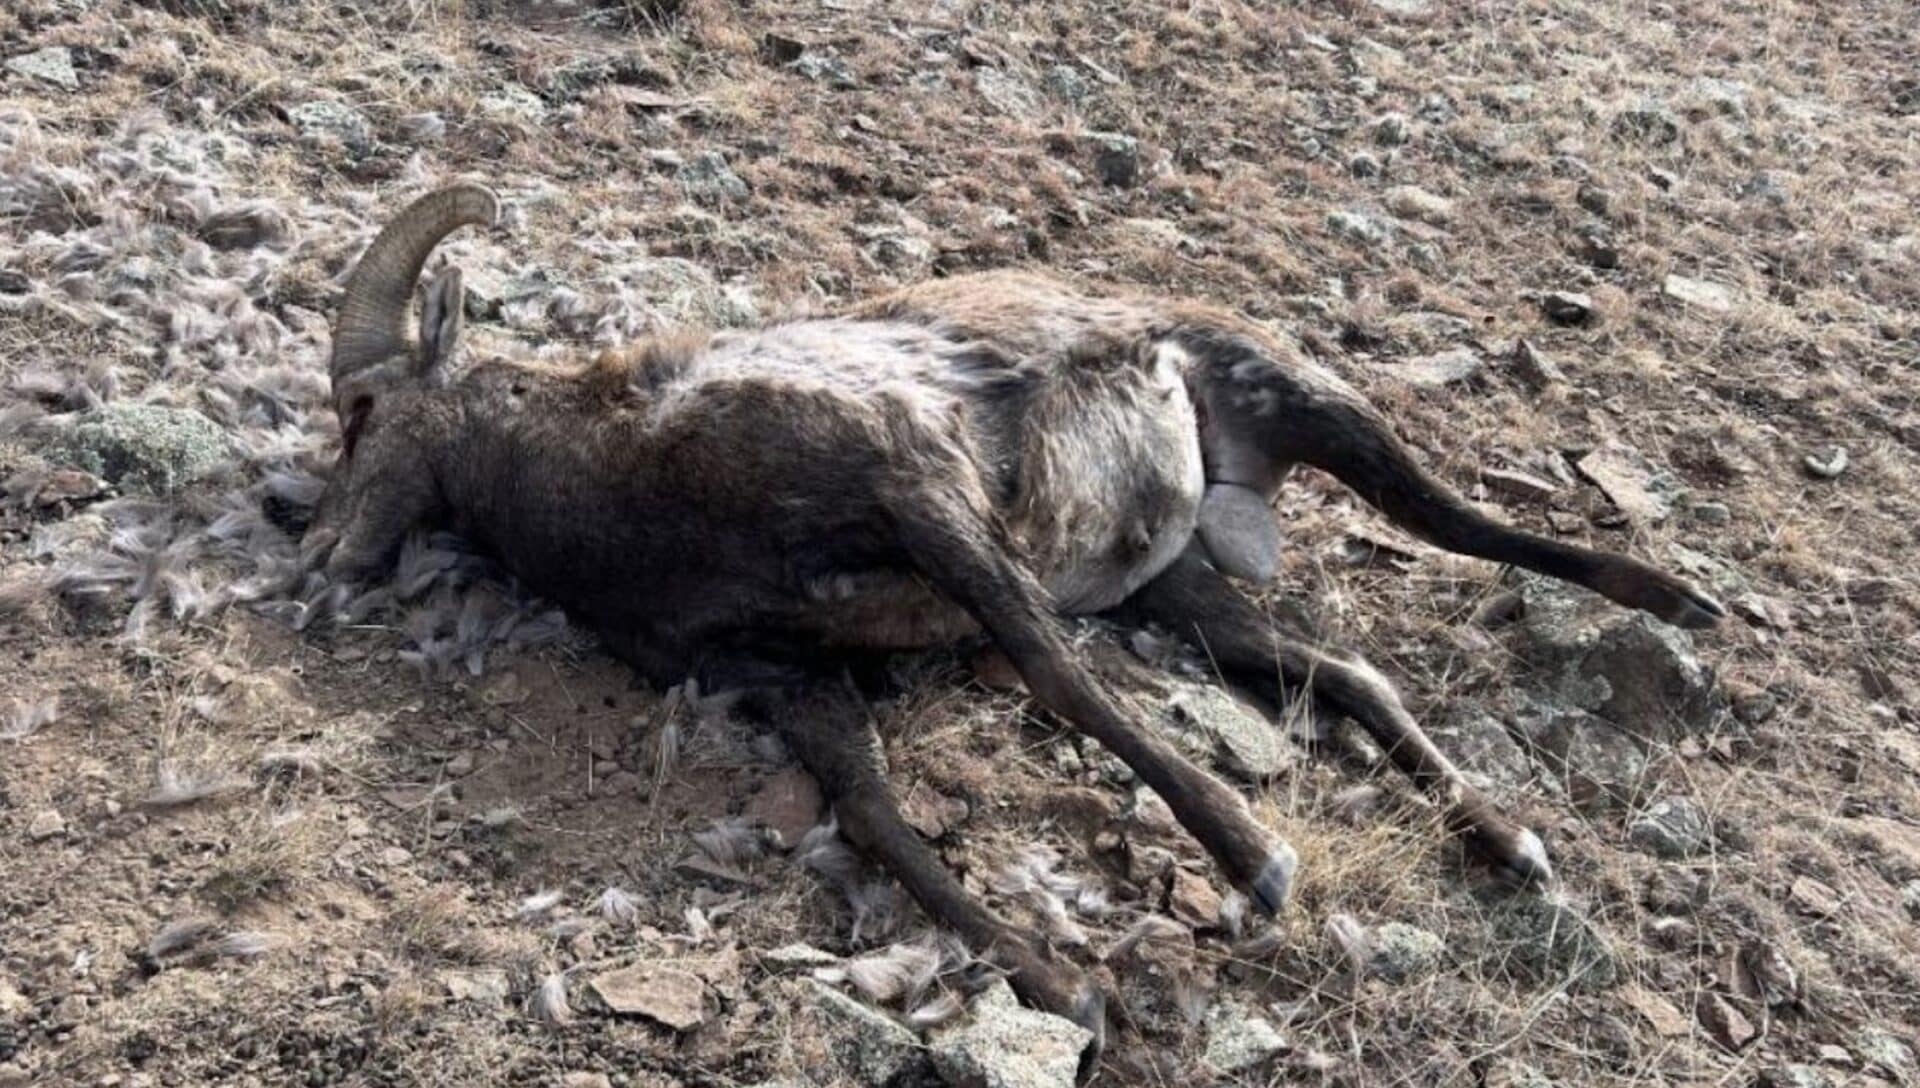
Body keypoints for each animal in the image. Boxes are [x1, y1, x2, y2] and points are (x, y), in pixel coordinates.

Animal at [304, 183, 1725, 1049]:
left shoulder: (921, 493)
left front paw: (1257, 859)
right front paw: (1062, 983)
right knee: (1349, 670)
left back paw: (1681, 605)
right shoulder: (785, 670)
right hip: (1179, 589)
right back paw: (1510, 840)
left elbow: (1056, 678)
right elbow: (874, 817)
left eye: (361, 412)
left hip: (1311, 408)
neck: (620, 475)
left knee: (1460, 522)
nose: (317, 556)